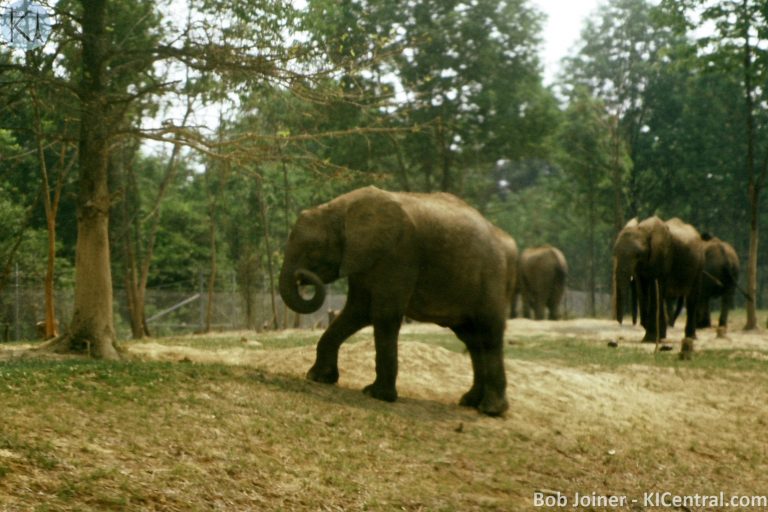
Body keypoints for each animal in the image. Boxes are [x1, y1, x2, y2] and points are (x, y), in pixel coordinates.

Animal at [279, 186, 511, 416]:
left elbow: (383, 314)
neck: (342, 209)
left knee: (488, 334)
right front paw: (318, 378)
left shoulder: (399, 253)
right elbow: (357, 311)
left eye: (314, 248)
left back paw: (490, 409)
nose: (302, 277)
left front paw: (377, 395)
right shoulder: (363, 258)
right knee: (472, 338)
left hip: (492, 278)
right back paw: (470, 402)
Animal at [612, 216, 705, 350]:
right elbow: (643, 290)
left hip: (700, 264)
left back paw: (690, 337)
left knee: (692, 297)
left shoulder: (663, 257)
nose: (619, 322)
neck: (643, 229)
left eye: (638, 255)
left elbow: (655, 291)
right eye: (615, 252)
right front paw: (654, 336)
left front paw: (651, 338)